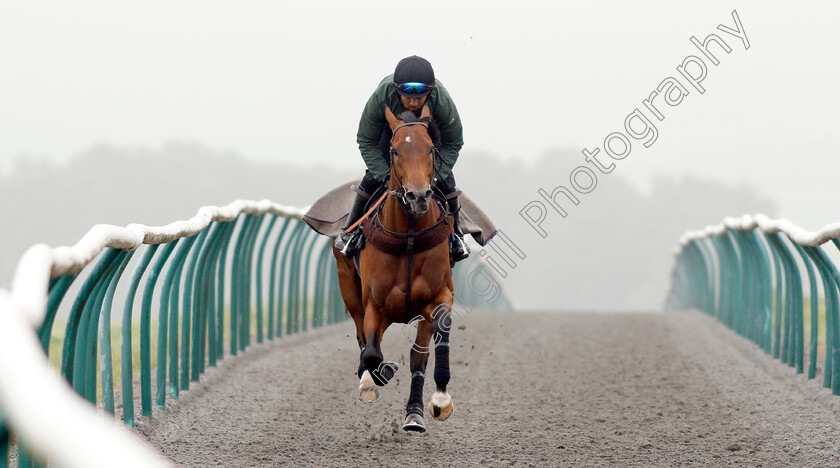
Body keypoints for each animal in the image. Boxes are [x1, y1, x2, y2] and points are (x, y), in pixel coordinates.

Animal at [332, 104, 456, 434]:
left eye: (430, 149)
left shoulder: (439, 295)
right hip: (349, 289)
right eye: (395, 150)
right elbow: (373, 352)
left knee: (416, 357)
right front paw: (379, 373)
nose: (418, 196)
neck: (409, 238)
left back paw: (414, 412)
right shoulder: (375, 305)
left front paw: (438, 401)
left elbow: (428, 346)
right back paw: (368, 380)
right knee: (362, 338)